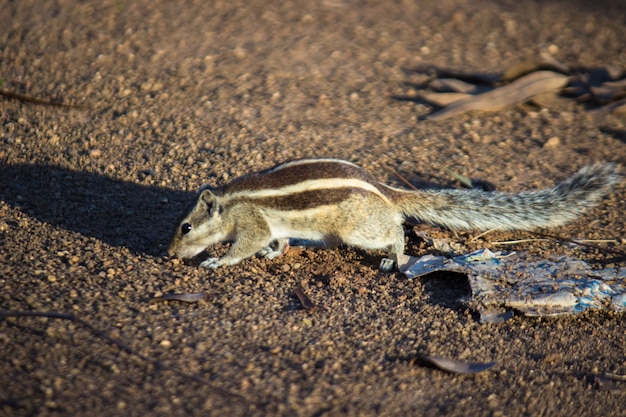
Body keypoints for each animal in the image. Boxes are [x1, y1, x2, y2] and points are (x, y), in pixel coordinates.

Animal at [167, 158, 620, 272]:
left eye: (186, 227)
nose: (169, 255)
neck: (230, 202)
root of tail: (386, 191)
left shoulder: (251, 222)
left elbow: (244, 245)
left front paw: (216, 260)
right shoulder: (272, 225)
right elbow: (277, 239)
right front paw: (274, 253)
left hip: (358, 230)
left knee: (396, 230)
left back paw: (396, 257)